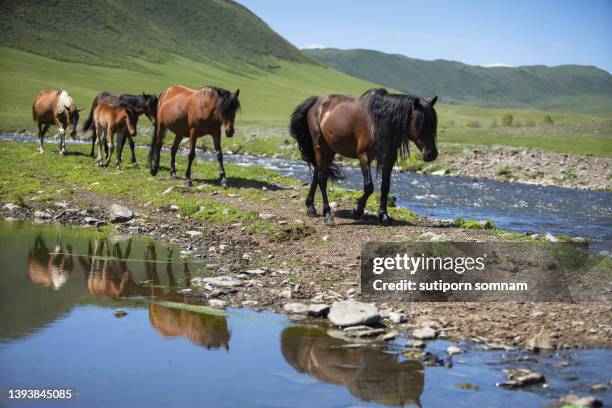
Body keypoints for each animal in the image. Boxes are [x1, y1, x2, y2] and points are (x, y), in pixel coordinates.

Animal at [290, 88, 438, 226]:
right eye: (420, 122)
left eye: (433, 124)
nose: (431, 154)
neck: (376, 122)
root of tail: (317, 103)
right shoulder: (364, 156)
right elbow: (369, 186)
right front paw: (356, 211)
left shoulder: (389, 158)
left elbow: (385, 187)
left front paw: (384, 216)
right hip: (320, 147)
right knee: (322, 179)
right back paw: (328, 215)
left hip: (330, 150)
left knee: (317, 174)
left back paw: (311, 207)